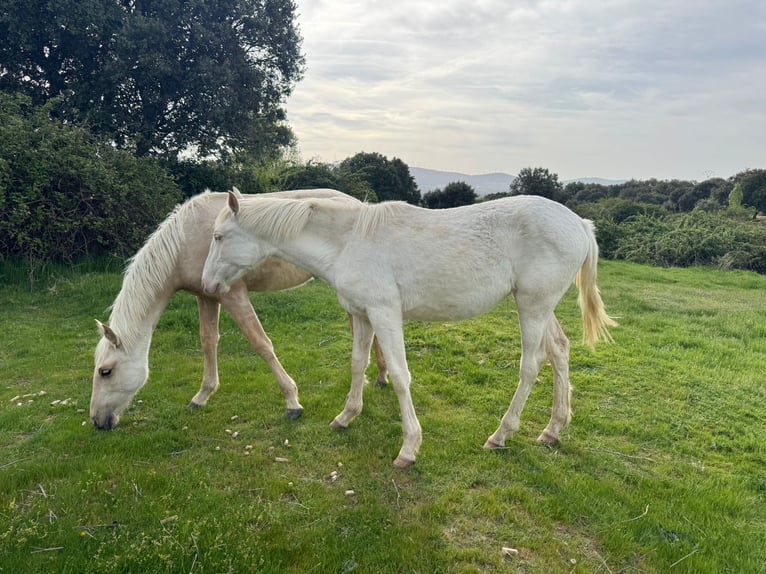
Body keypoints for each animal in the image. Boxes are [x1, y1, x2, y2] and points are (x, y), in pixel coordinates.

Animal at [90, 188, 387, 430]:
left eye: (105, 371)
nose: (96, 421)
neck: (186, 240)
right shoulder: (206, 296)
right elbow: (208, 341)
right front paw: (202, 395)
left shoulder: (232, 294)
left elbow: (261, 344)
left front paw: (292, 401)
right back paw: (380, 377)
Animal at [201, 192, 617, 467]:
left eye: (219, 237)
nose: (206, 285)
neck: (348, 241)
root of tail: (579, 224)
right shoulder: (362, 315)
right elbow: (358, 364)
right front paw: (346, 416)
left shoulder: (385, 314)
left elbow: (400, 376)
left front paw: (409, 448)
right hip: (542, 307)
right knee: (560, 350)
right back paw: (553, 429)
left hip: (532, 306)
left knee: (531, 365)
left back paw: (500, 435)